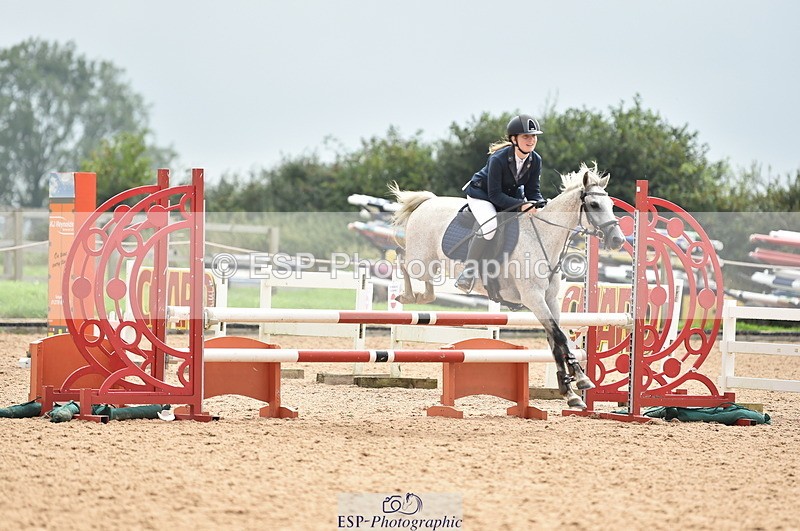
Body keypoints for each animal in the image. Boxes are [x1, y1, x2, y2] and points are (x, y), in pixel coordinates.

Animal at [390, 162, 625, 409]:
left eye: (611, 205)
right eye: (594, 204)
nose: (618, 240)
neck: (544, 237)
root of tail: (428, 201)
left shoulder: (549, 300)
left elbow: (556, 340)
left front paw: (570, 392)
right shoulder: (533, 298)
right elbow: (561, 337)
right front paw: (581, 379)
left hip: (431, 263)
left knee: (423, 280)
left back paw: (419, 296)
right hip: (421, 260)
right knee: (401, 258)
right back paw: (407, 296)